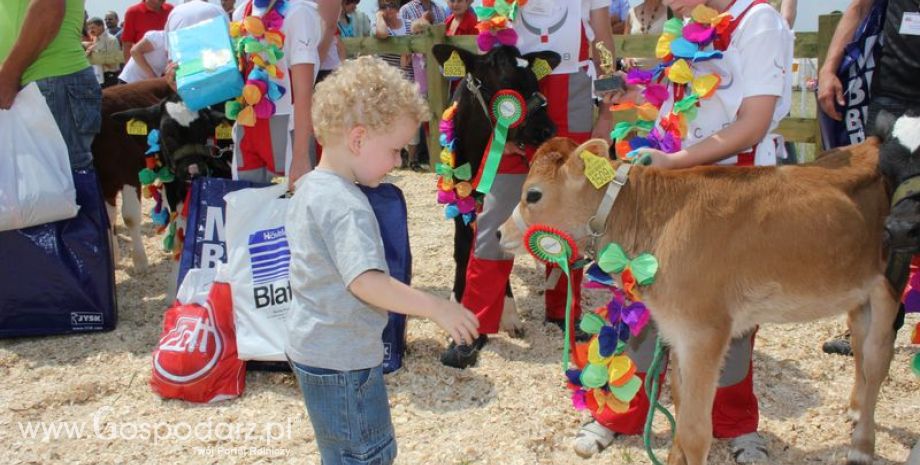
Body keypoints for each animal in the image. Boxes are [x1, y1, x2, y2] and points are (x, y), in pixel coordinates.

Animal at [500, 137, 896, 464]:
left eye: (533, 194)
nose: (501, 232)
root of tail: (872, 145)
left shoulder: (704, 332)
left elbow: (694, 431)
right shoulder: (675, 329)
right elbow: (680, 407)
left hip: (888, 288)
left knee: (878, 359)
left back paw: (861, 446)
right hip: (857, 294)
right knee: (860, 349)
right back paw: (855, 410)